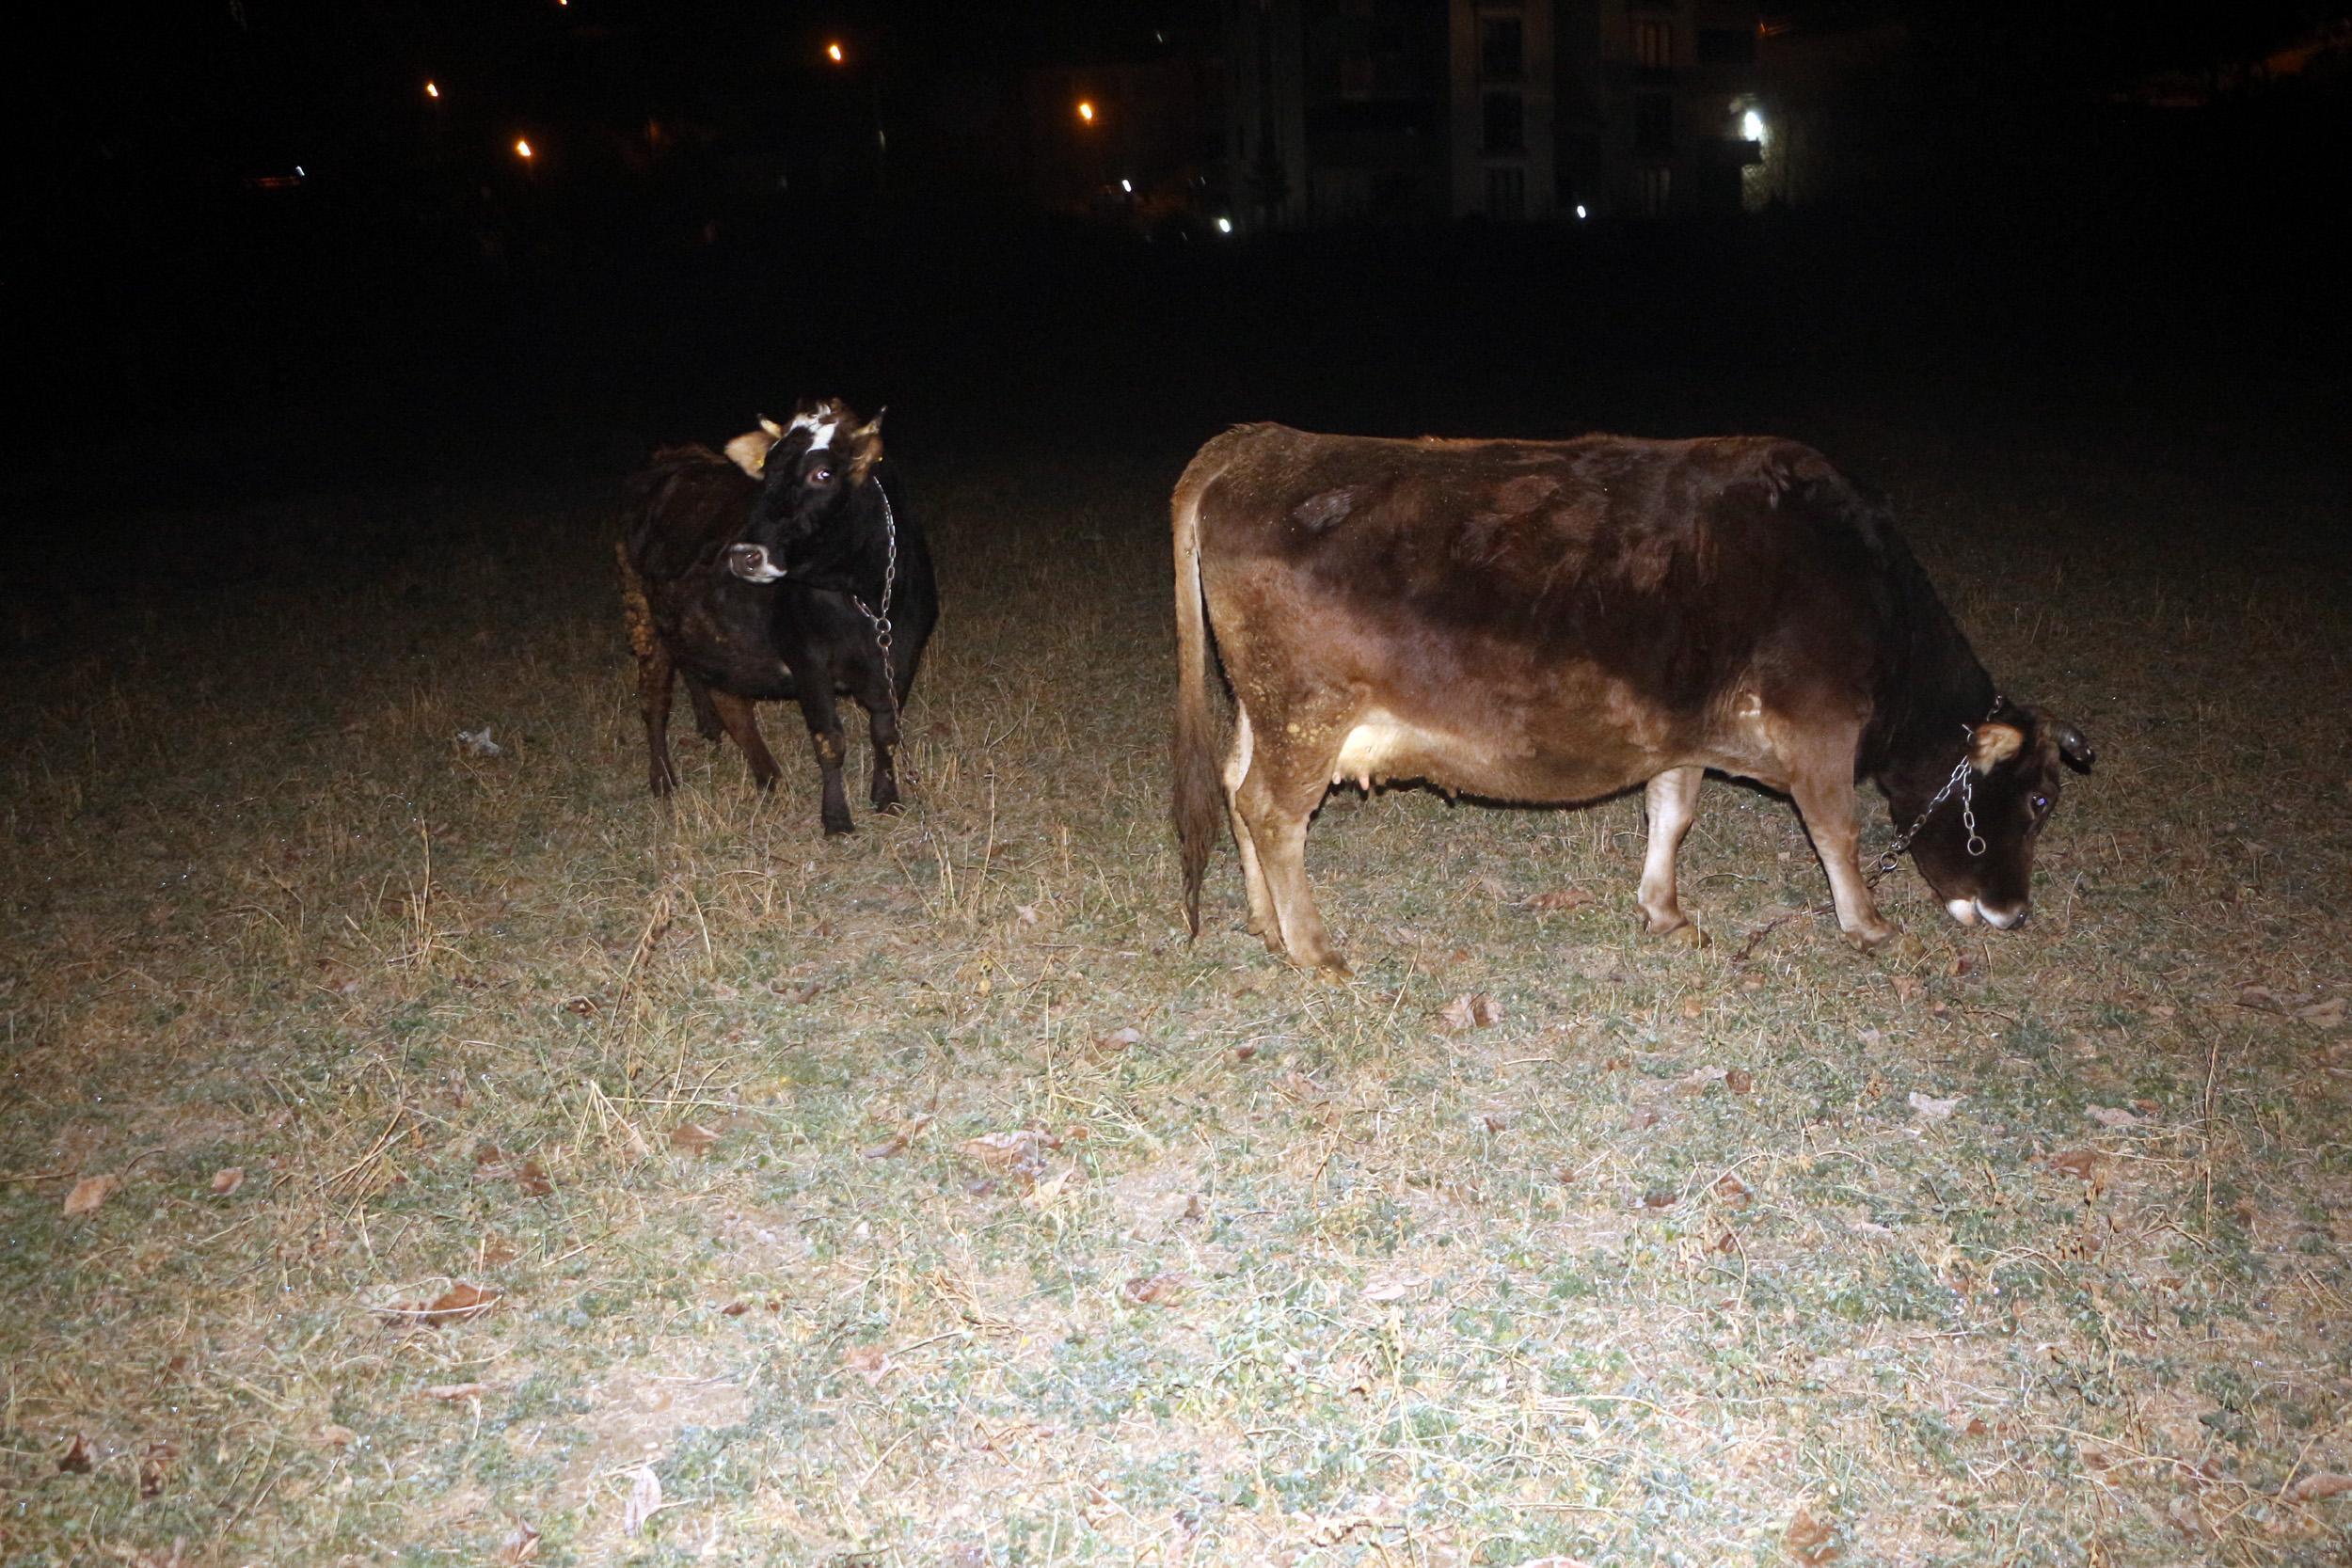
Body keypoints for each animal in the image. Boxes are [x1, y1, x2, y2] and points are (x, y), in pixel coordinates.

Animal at [616, 399, 936, 832]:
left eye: (823, 473)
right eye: (766, 472)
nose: (743, 556)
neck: (866, 599)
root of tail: (672, 457)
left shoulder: (901, 657)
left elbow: (885, 730)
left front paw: (887, 798)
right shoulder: (808, 661)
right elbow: (829, 740)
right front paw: (836, 818)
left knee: (728, 699)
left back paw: (767, 775)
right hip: (643, 617)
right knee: (654, 701)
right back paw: (664, 780)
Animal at [1176, 422, 2098, 973]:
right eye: (2040, 799)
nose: (2015, 913)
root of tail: (1263, 443)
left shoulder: (1684, 731)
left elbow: (1672, 812)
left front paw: (1664, 908)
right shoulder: (1820, 726)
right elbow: (1837, 828)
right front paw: (1866, 923)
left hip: (1266, 708)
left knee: (1233, 785)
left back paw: (1267, 925)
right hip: (1307, 710)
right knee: (1272, 811)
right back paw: (1313, 948)